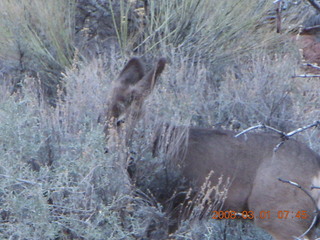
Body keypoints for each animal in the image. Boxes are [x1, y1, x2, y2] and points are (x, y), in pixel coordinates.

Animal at [105, 57, 320, 239]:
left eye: (121, 120)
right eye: (102, 114)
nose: (106, 149)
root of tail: (315, 169)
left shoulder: (174, 208)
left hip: (281, 216)